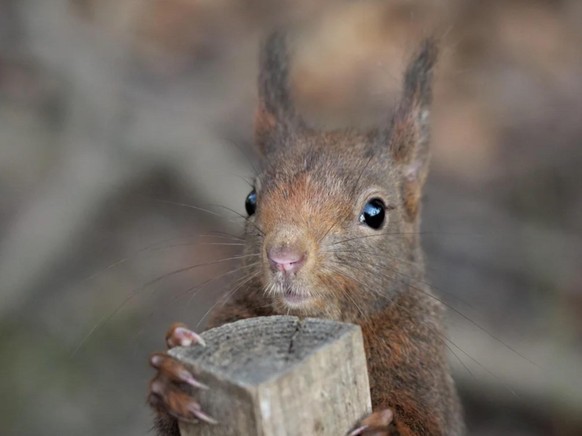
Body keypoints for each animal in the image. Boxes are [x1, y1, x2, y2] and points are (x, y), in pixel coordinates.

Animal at [147, 30, 466, 436]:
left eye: (375, 212)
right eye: (250, 200)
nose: (284, 258)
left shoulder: (423, 363)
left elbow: (428, 425)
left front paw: (377, 429)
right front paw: (170, 378)